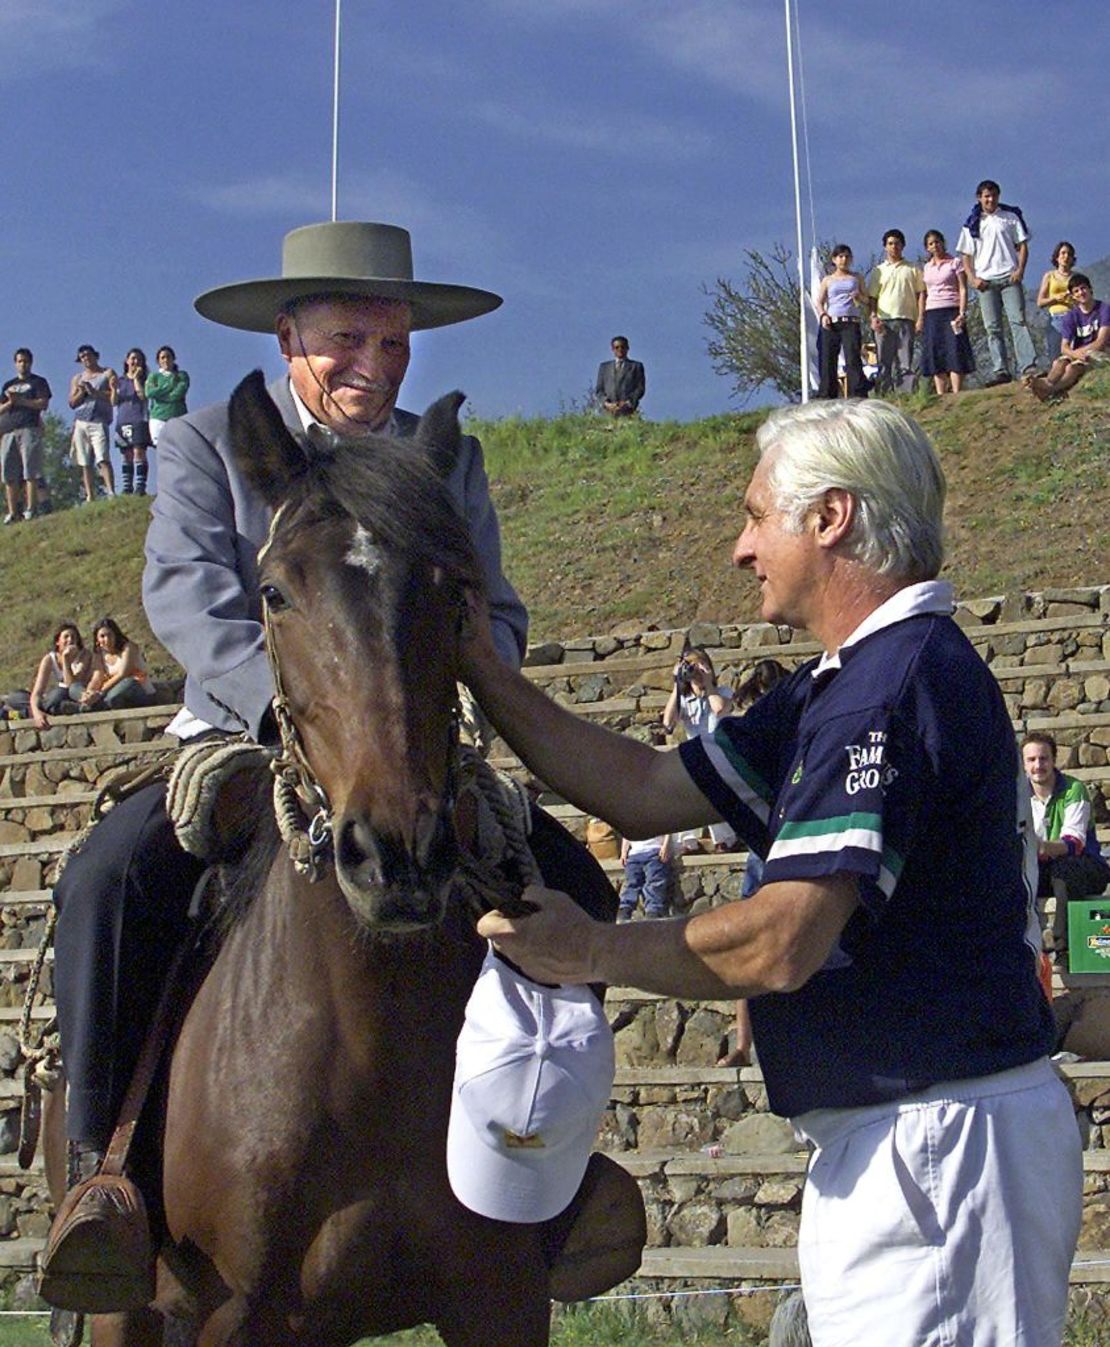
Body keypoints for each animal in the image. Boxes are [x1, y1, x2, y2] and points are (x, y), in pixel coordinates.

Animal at [47, 374, 641, 1347]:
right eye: (274, 591)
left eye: (456, 587)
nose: (397, 852)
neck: (364, 1041)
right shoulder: (235, 1315)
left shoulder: (501, 1295)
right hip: (125, 1311)